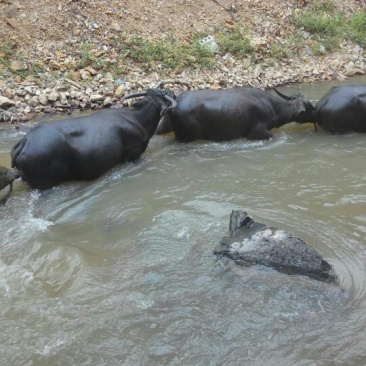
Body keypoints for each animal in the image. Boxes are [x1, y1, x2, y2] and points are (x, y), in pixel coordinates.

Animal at [157, 86, 314, 142]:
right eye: (310, 107)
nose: (315, 115)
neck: (274, 108)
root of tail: (172, 105)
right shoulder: (257, 133)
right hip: (187, 136)